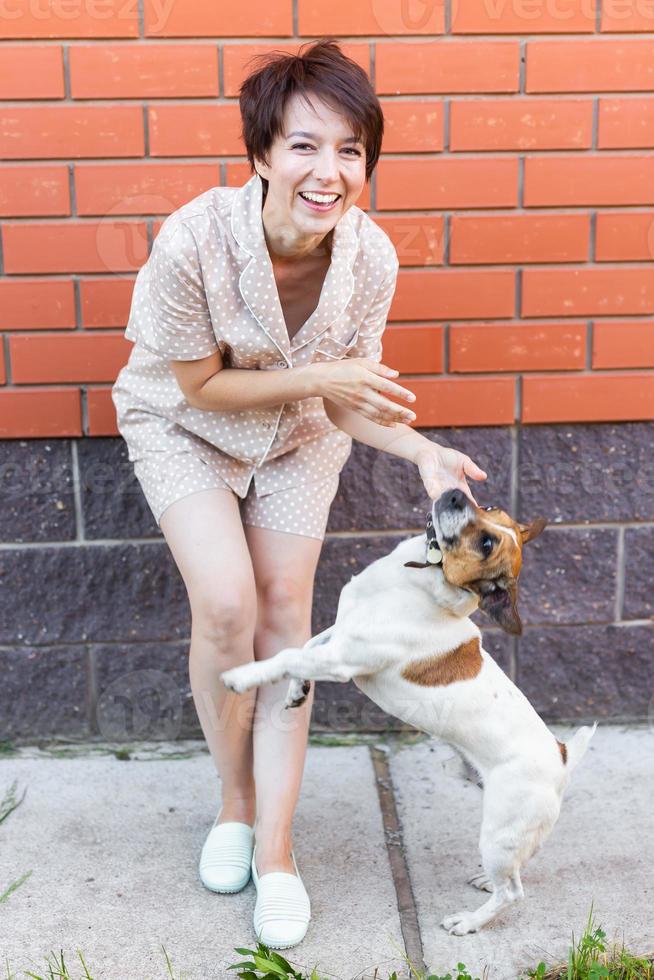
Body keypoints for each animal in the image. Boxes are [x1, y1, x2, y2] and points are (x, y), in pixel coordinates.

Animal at [224, 490, 600, 936]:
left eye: (486, 543)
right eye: (490, 507)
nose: (455, 493)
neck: (418, 580)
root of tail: (562, 756)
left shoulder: (345, 659)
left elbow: (286, 656)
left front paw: (243, 675)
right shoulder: (338, 635)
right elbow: (305, 646)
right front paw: (298, 690)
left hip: (500, 830)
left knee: (512, 892)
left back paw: (469, 921)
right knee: (521, 865)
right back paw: (483, 880)